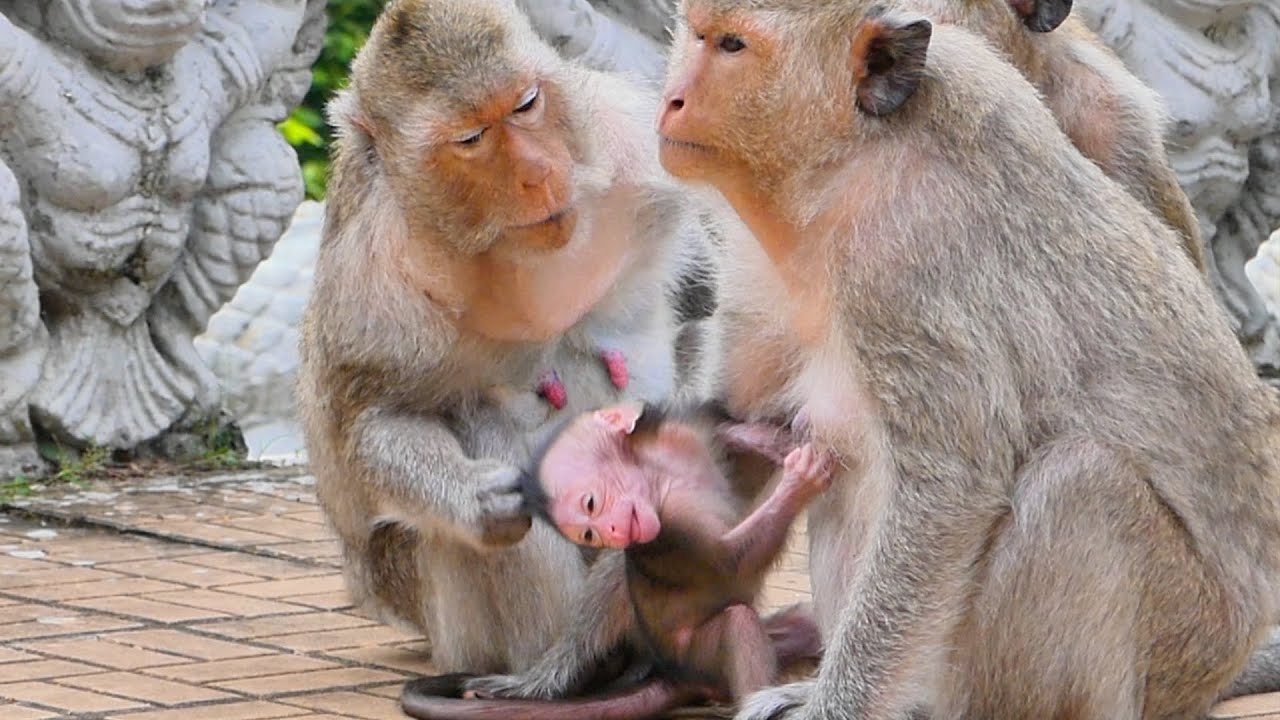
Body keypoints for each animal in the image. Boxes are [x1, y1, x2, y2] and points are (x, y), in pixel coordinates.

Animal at [296, 0, 725, 678]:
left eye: (525, 104)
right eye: (471, 139)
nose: (538, 173)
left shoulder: (629, 142)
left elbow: (701, 305)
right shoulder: (374, 284)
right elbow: (381, 419)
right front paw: (474, 500)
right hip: (444, 619)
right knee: (474, 417)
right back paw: (569, 659)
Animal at [398, 401, 830, 720]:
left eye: (591, 503)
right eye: (588, 533)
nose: (611, 530)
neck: (662, 477)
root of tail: (671, 672)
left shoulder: (681, 441)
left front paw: (759, 437)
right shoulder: (668, 528)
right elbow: (728, 564)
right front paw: (798, 484)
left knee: (802, 624)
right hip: (700, 657)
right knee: (737, 624)